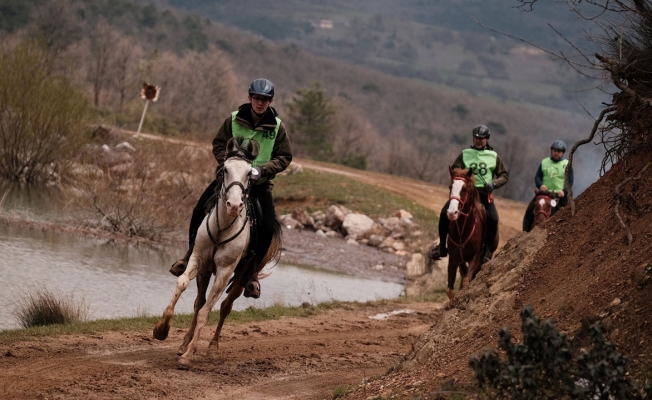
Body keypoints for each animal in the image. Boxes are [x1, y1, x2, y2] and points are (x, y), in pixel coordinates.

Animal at [446, 167, 496, 302]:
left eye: (464, 188)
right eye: (450, 186)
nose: (452, 212)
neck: (463, 230)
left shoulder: (475, 257)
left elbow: (466, 282)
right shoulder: (453, 259)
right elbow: (450, 290)